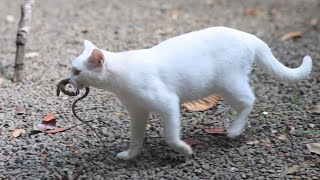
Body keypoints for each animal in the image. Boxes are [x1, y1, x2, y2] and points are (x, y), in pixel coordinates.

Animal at [68, 26, 312, 160]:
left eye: (77, 71)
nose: (68, 79)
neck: (120, 79)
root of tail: (248, 36)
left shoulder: (168, 103)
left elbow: (170, 136)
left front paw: (184, 151)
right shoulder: (138, 112)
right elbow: (136, 137)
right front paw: (131, 155)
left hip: (228, 82)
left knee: (249, 100)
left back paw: (234, 131)